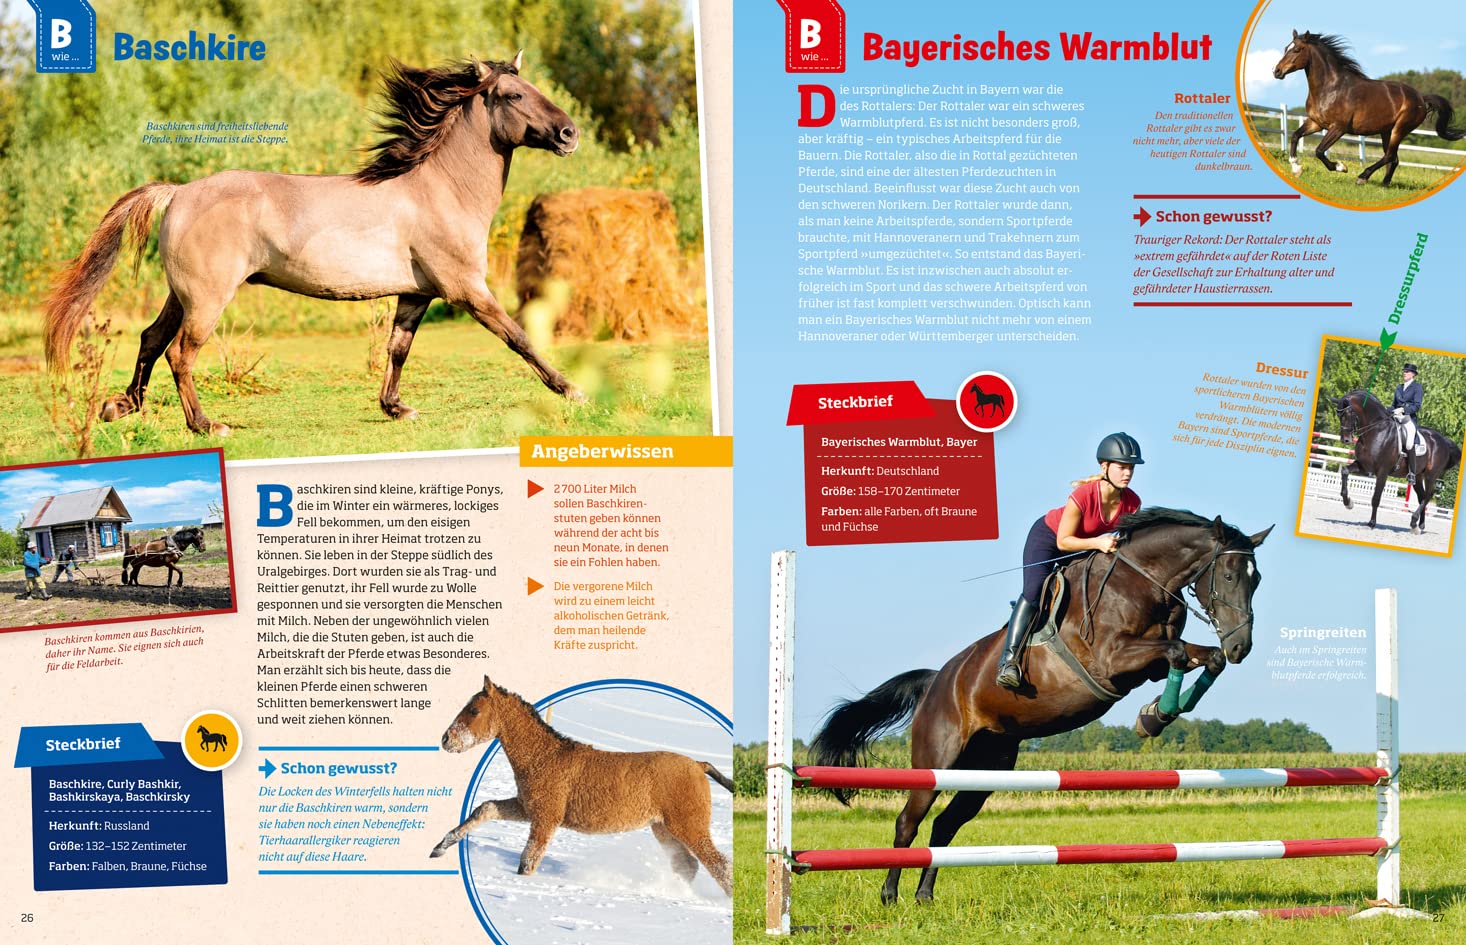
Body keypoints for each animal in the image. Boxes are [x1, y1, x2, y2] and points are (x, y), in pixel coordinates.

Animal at [44, 51, 583, 437]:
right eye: (513, 94)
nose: (569, 133)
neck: (440, 190)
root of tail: (178, 192)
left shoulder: (417, 293)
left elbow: (397, 350)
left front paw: (395, 408)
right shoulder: (467, 288)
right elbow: (518, 337)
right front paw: (570, 389)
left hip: (181, 295)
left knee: (151, 339)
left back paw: (120, 405)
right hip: (207, 299)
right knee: (180, 354)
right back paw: (205, 425)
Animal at [429, 676, 733, 895]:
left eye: (474, 710)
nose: (446, 740)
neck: (543, 757)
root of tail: (698, 765)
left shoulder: (546, 817)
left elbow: (529, 860)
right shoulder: (528, 808)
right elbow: (486, 809)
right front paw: (441, 847)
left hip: (689, 826)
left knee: (719, 866)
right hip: (663, 828)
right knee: (688, 865)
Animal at [809, 508, 1272, 905]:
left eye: (1258, 579)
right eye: (1229, 574)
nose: (1242, 646)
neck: (1142, 582)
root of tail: (937, 680)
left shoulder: (1151, 664)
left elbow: (1203, 658)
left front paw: (1155, 716)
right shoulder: (1112, 660)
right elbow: (1175, 652)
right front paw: (1155, 717)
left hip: (987, 767)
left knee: (944, 826)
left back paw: (925, 896)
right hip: (937, 760)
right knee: (909, 821)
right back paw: (889, 896)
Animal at [1272, 30, 1466, 186]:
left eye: (1297, 49)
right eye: (1285, 47)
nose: (1277, 71)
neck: (1330, 88)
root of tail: (1420, 98)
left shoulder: (1338, 128)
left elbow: (1319, 151)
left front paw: (1341, 167)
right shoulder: (1316, 123)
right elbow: (1295, 136)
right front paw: (1296, 168)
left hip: (1399, 129)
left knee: (1389, 156)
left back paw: (1362, 177)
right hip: (1386, 131)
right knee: (1393, 159)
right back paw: (1384, 184)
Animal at [1333, 389, 1461, 533]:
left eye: (1349, 413)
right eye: (1339, 415)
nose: (1345, 440)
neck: (1377, 430)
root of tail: (1443, 440)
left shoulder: (1382, 472)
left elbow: (1376, 498)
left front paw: (1371, 523)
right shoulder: (1364, 466)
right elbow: (1344, 471)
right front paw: (1348, 503)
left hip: (1431, 475)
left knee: (1428, 495)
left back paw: (1414, 521)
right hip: (1418, 476)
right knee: (1422, 496)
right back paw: (1418, 526)